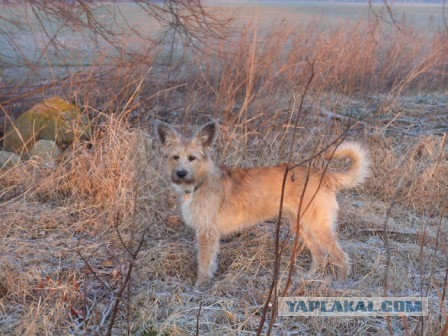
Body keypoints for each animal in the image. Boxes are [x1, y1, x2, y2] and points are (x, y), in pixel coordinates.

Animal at [156, 121, 370, 286]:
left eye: (192, 158)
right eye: (175, 157)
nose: (181, 173)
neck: (200, 181)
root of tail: (322, 175)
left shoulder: (206, 233)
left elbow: (203, 263)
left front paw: (200, 286)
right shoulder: (210, 235)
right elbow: (210, 262)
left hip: (317, 227)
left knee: (341, 257)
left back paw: (340, 285)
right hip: (301, 226)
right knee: (319, 255)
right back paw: (306, 279)